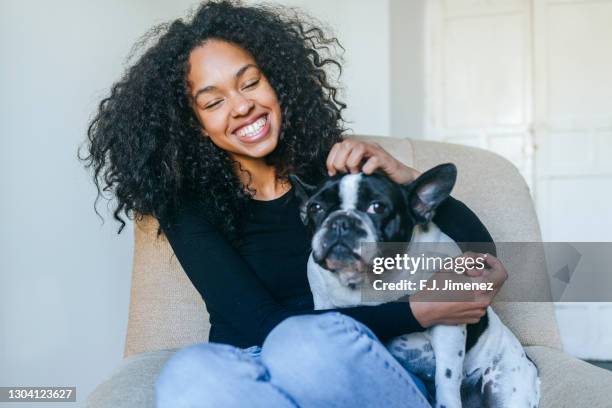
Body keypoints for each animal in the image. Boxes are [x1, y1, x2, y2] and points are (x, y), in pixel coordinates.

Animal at [292, 165, 540, 408]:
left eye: (377, 207)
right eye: (315, 207)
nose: (340, 221)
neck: (373, 280)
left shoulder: (448, 326)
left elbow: (447, 378)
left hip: (507, 386)